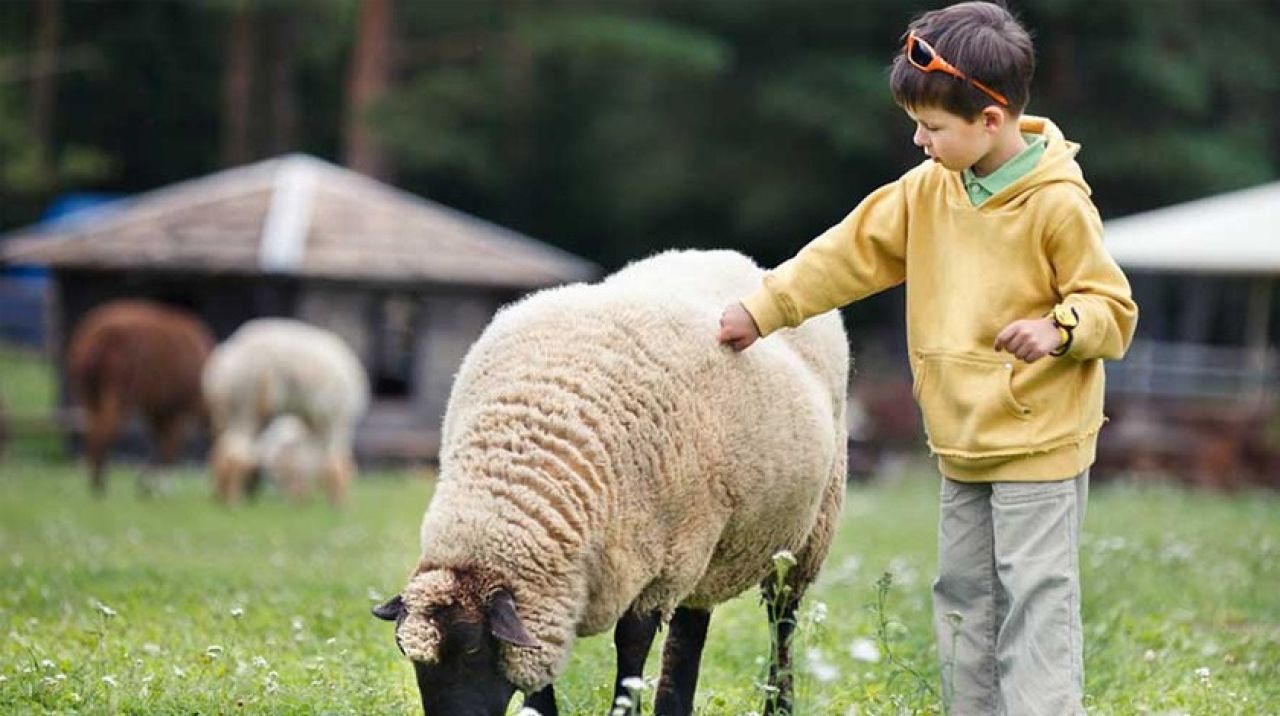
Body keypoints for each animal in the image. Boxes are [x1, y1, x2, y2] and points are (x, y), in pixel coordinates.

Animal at [66, 299, 215, 496]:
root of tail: (100, 337)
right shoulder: (175, 407)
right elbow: (170, 444)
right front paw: (162, 485)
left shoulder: (159, 408)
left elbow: (160, 440)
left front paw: (148, 482)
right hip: (122, 389)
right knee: (106, 429)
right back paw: (100, 485)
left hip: (88, 390)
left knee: (93, 428)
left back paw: (95, 481)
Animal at [199, 316, 368, 507]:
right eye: (279, 476)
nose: (293, 499)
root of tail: (222, 365)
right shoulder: (335, 416)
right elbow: (336, 463)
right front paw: (342, 505)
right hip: (247, 394)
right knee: (237, 453)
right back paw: (234, 501)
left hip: (233, 407)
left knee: (223, 449)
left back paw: (222, 497)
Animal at [371, 249, 849, 712]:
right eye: (406, 653)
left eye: (471, 650)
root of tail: (743, 261)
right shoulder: (558, 584)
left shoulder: (662, 562)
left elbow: (632, 645)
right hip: (714, 551)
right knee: (693, 625)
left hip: (800, 537)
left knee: (781, 621)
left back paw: (778, 703)